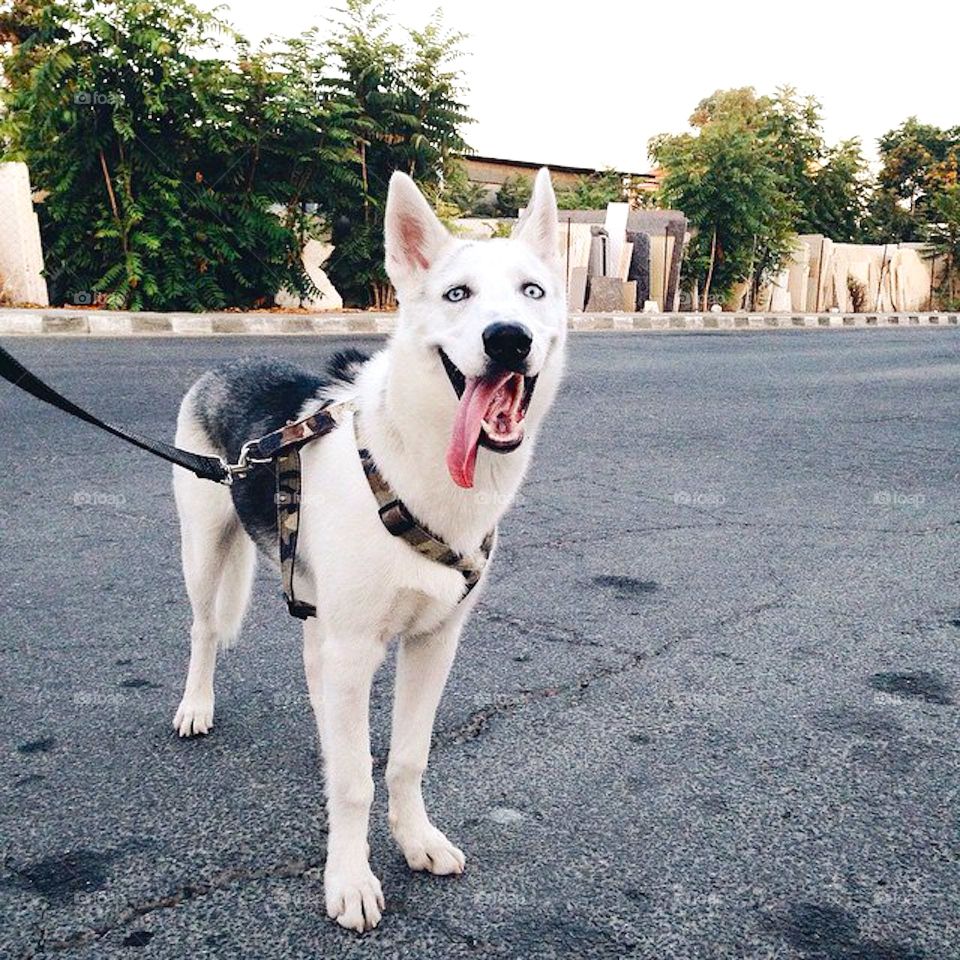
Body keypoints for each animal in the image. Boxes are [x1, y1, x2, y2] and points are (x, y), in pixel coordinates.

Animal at [170, 167, 568, 928]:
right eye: (456, 295)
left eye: (532, 292)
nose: (508, 340)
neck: (415, 466)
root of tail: (224, 363)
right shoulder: (357, 645)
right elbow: (356, 782)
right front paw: (349, 878)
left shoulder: (434, 642)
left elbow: (407, 758)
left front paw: (416, 839)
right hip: (204, 556)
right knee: (204, 632)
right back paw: (196, 706)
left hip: (314, 601)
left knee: (316, 672)